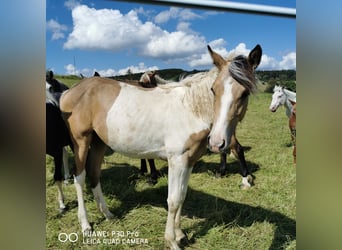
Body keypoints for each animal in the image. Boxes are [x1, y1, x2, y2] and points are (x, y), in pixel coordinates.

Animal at [59, 44, 262, 249]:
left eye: (245, 93)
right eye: (213, 89)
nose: (216, 142)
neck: (191, 110)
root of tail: (69, 92)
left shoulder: (189, 161)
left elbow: (182, 195)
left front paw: (180, 235)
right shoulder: (177, 161)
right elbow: (173, 200)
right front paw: (172, 241)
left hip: (99, 142)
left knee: (94, 173)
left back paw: (108, 214)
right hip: (81, 141)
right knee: (80, 177)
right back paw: (85, 225)